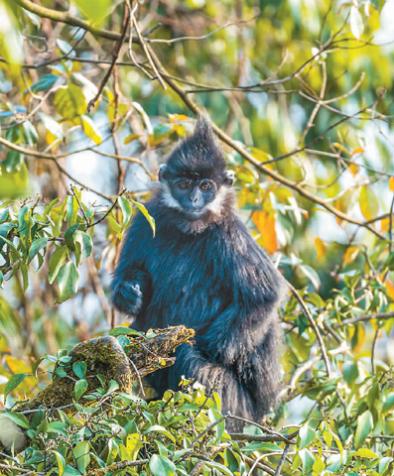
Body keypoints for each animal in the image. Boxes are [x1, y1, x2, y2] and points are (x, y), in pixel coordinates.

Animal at [111, 115, 286, 428]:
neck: (189, 230)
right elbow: (129, 279)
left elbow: (263, 295)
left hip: (234, 406)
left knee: (191, 359)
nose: (194, 200)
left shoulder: (229, 233)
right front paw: (130, 293)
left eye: (206, 186)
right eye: (183, 184)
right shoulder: (148, 217)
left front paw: (203, 345)